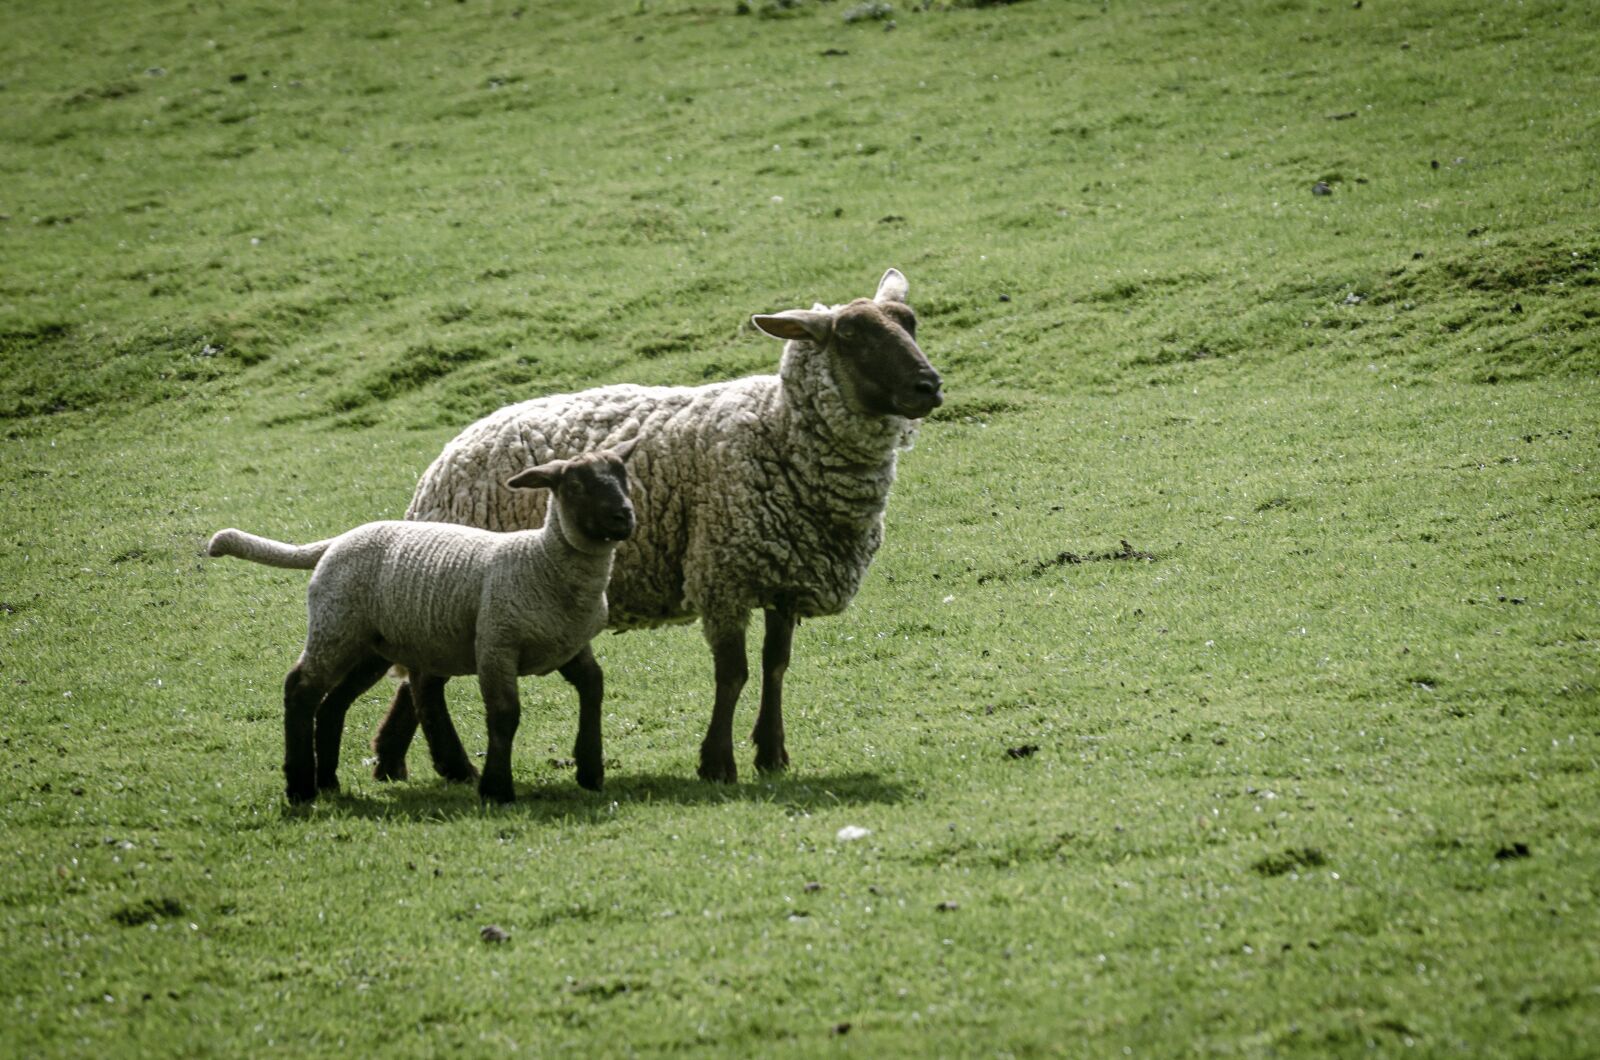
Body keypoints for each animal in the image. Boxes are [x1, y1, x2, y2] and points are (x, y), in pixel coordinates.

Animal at [208, 443, 637, 803]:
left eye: (623, 475)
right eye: (576, 485)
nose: (625, 516)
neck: (541, 561)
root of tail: (337, 541)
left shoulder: (573, 647)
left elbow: (593, 690)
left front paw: (590, 771)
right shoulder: (496, 644)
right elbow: (504, 714)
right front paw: (497, 789)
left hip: (373, 645)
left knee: (332, 704)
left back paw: (328, 781)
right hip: (335, 625)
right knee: (301, 688)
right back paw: (300, 787)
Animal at [370, 268, 943, 785]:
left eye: (910, 322)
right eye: (849, 335)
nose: (929, 386)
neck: (776, 430)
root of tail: (441, 465)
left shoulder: (784, 575)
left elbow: (776, 666)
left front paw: (771, 754)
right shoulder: (721, 572)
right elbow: (733, 673)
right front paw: (718, 764)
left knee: (417, 678)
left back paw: (393, 762)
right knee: (424, 680)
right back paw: (452, 764)